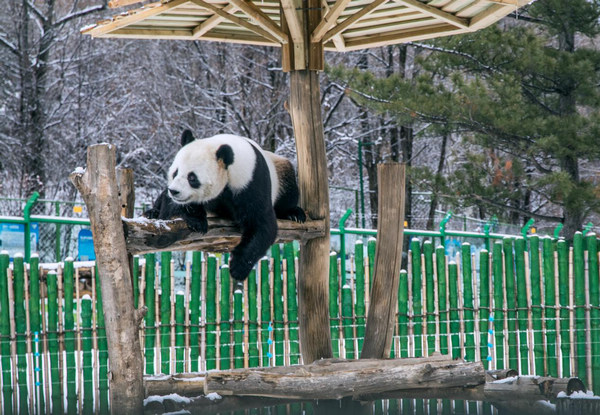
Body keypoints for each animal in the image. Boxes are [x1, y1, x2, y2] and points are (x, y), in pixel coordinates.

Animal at [145, 128, 304, 282]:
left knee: (288, 190)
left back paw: (294, 214)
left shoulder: (251, 182)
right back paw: (151, 213)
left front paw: (237, 268)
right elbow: (170, 208)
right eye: (175, 172)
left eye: (192, 177)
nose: (174, 191)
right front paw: (196, 220)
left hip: (280, 170)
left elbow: (261, 224)